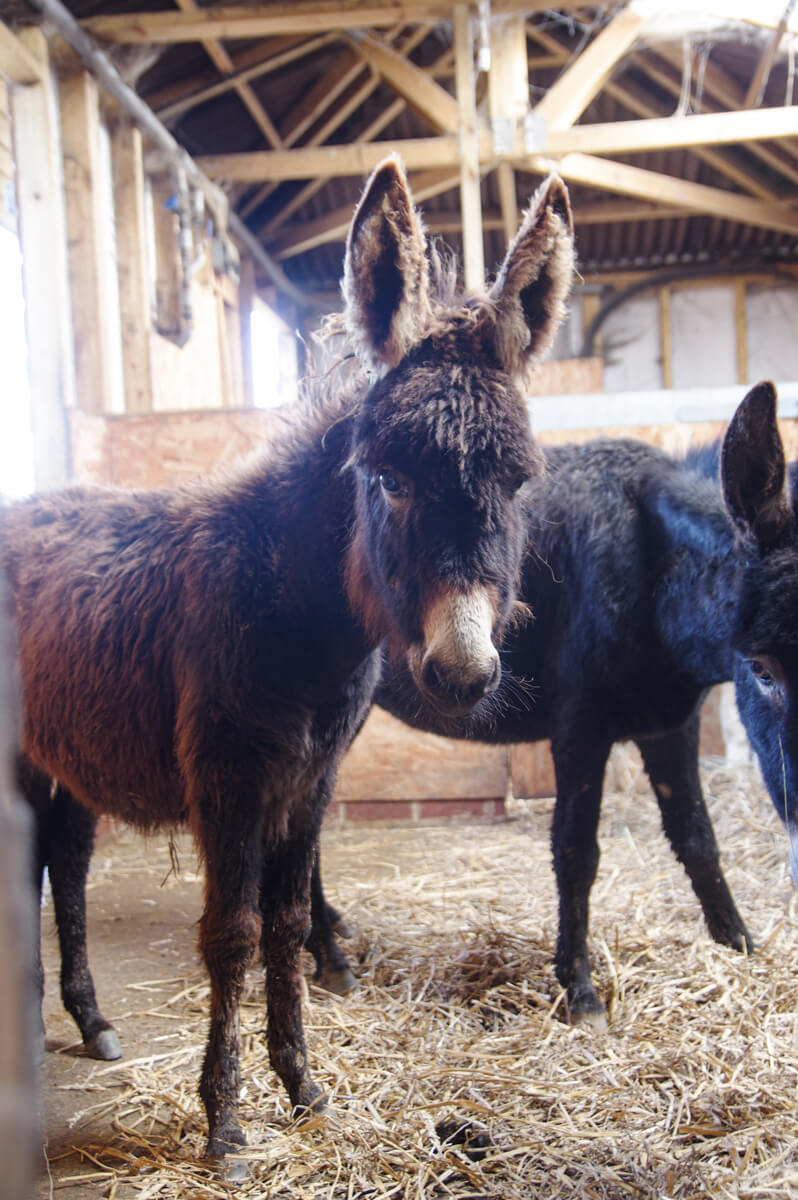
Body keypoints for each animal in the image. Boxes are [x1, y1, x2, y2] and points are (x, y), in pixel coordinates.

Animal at [2, 156, 575, 1158]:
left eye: (518, 482)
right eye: (387, 478)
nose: (464, 672)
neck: (294, 613)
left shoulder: (310, 780)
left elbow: (291, 919)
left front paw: (303, 1088)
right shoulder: (230, 782)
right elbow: (232, 931)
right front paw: (225, 1119)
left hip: (66, 760)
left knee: (63, 868)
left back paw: (90, 1020)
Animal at [312, 381, 797, 1030]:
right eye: (763, 671)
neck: (647, 566)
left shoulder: (672, 724)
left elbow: (697, 837)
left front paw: (738, 943)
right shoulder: (579, 731)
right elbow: (576, 852)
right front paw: (581, 991)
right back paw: (325, 955)